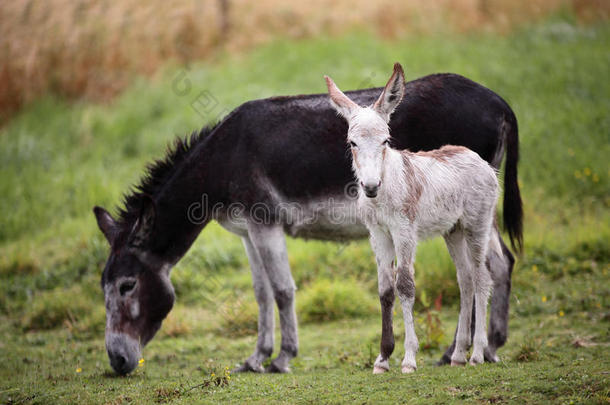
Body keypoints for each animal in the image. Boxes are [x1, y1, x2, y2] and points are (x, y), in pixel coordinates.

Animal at [324, 62, 498, 372]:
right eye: (352, 142)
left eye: (385, 141)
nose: (370, 187)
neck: (383, 193)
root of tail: (478, 160)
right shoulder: (378, 234)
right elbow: (385, 290)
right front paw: (382, 359)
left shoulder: (404, 231)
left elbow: (405, 285)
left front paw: (408, 359)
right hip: (453, 231)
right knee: (465, 280)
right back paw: (458, 355)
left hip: (477, 225)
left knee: (481, 278)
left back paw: (477, 353)